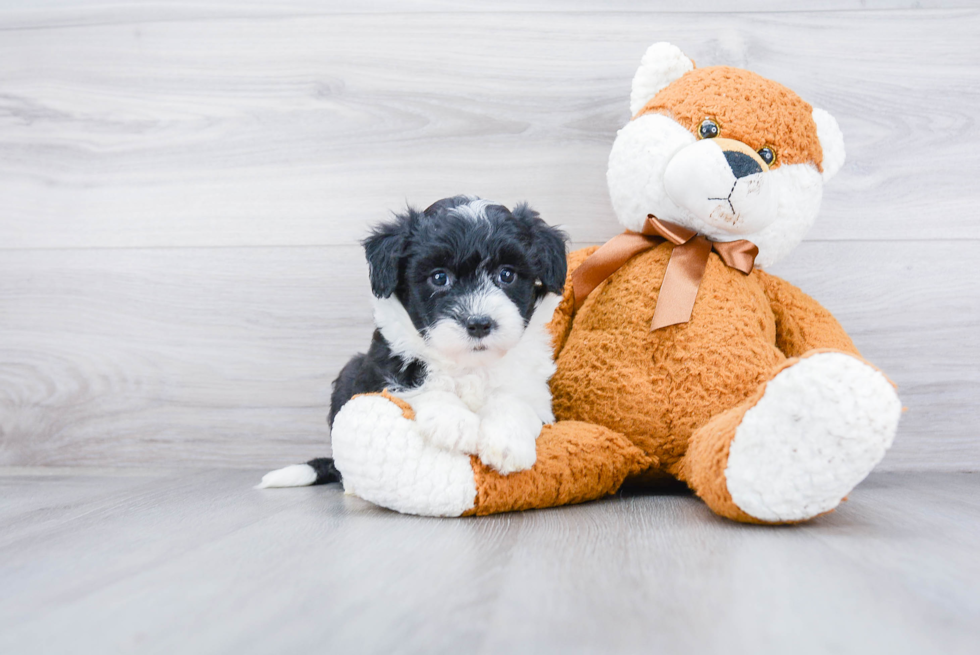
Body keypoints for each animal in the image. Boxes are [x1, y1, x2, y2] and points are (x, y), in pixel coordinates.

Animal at [256, 197, 572, 490]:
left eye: (507, 274)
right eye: (439, 277)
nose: (479, 323)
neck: (467, 363)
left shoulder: (534, 390)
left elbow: (516, 400)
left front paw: (508, 441)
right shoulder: (383, 371)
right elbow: (418, 385)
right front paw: (453, 421)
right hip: (349, 372)